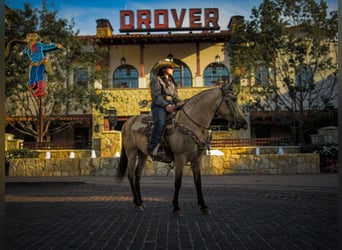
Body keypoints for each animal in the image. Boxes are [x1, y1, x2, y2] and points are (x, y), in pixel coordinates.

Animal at [116, 83, 247, 215]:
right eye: (233, 99)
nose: (244, 123)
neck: (191, 124)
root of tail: (127, 122)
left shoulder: (197, 159)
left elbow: (198, 182)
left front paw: (203, 206)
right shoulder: (180, 158)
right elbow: (178, 182)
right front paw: (176, 207)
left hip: (143, 154)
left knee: (137, 175)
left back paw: (141, 202)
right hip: (131, 153)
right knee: (131, 175)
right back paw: (137, 204)